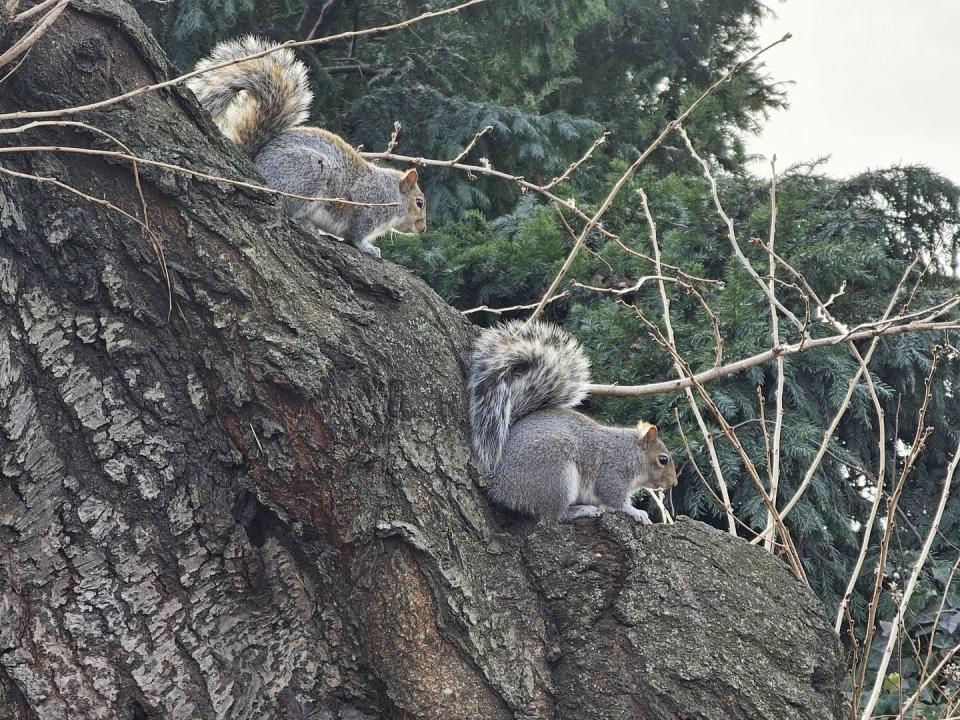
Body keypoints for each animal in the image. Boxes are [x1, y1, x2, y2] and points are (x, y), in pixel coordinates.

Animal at [186, 35, 426, 258]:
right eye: (419, 202)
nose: (423, 228)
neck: (390, 192)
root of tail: (255, 163)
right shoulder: (367, 205)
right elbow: (356, 235)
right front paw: (368, 248)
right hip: (308, 173)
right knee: (288, 210)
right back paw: (306, 224)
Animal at [468, 320, 680, 524]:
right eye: (663, 459)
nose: (674, 483)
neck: (634, 452)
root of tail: (499, 484)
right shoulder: (613, 471)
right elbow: (614, 498)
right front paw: (637, 512)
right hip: (556, 475)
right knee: (554, 515)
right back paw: (581, 510)